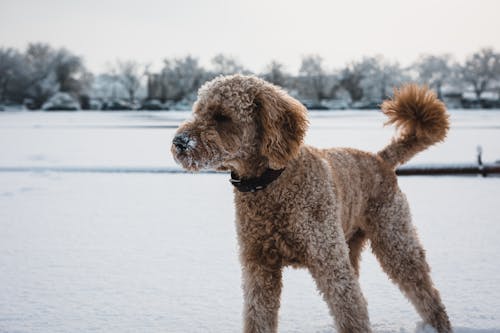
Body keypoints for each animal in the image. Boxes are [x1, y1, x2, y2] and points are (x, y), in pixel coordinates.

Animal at [172, 75, 454, 332]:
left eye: (222, 116)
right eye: (197, 111)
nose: (179, 142)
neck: (271, 183)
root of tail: (380, 158)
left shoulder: (326, 259)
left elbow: (350, 314)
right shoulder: (258, 265)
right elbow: (258, 317)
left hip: (393, 237)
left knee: (424, 291)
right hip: (348, 244)